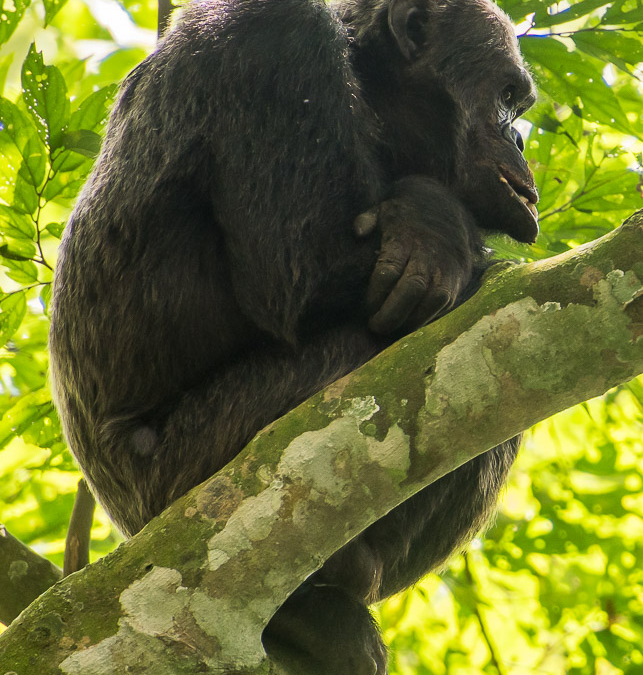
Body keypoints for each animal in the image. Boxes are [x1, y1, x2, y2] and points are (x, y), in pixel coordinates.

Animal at [49, 0, 540, 672]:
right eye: (506, 98)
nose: (519, 140)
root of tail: (133, 532)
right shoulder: (274, 41)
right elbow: (303, 272)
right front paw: (432, 222)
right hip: (187, 479)